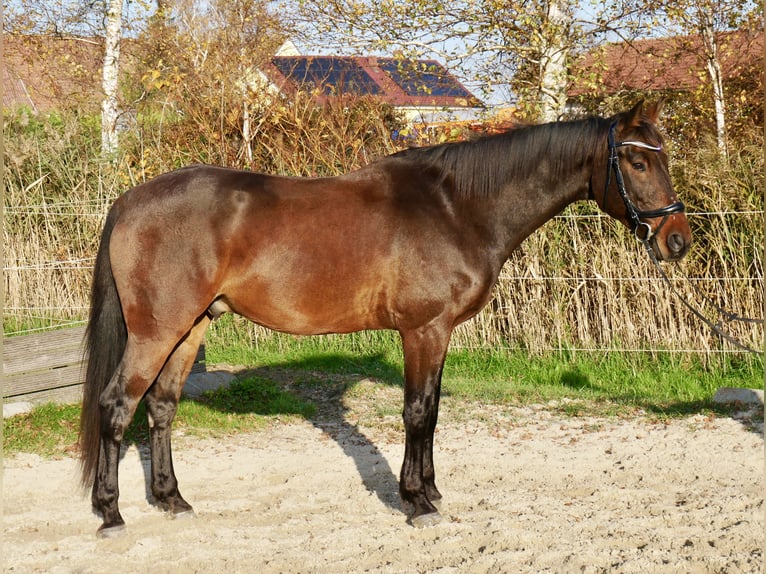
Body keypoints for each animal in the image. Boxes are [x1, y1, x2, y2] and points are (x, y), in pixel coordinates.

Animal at [81, 101, 692, 536]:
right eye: (637, 161)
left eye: (663, 156)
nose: (677, 240)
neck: (456, 207)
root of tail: (129, 201)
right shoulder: (424, 330)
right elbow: (417, 412)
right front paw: (417, 503)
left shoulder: (438, 335)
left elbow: (433, 412)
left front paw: (431, 491)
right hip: (157, 332)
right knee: (117, 407)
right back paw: (111, 514)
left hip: (190, 329)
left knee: (161, 407)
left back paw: (172, 500)